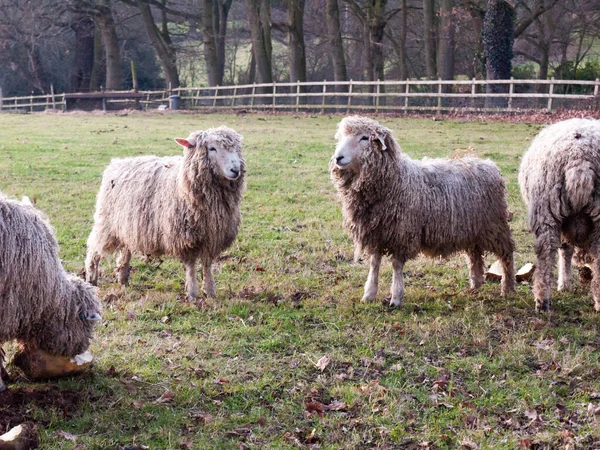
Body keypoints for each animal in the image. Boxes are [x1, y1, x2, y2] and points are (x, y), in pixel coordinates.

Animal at [84, 125, 244, 298]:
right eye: (212, 148)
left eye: (236, 148)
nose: (235, 170)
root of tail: (117, 163)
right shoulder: (185, 236)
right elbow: (191, 265)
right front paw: (192, 293)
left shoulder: (212, 235)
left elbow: (207, 264)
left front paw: (210, 291)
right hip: (106, 223)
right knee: (94, 249)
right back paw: (91, 279)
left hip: (128, 225)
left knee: (125, 250)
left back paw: (123, 279)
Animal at [328, 114, 516, 308]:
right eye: (342, 137)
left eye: (365, 137)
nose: (338, 157)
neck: (394, 180)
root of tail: (489, 165)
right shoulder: (377, 233)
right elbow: (374, 264)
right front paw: (369, 295)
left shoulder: (402, 232)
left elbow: (396, 265)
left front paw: (396, 297)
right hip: (473, 228)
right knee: (475, 254)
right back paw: (476, 284)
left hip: (494, 225)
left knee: (506, 253)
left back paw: (507, 287)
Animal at [516, 118, 600, 312]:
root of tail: (580, 159)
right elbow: (566, 250)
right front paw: (565, 284)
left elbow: (565, 250)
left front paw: (564, 284)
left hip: (546, 210)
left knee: (546, 254)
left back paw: (542, 300)